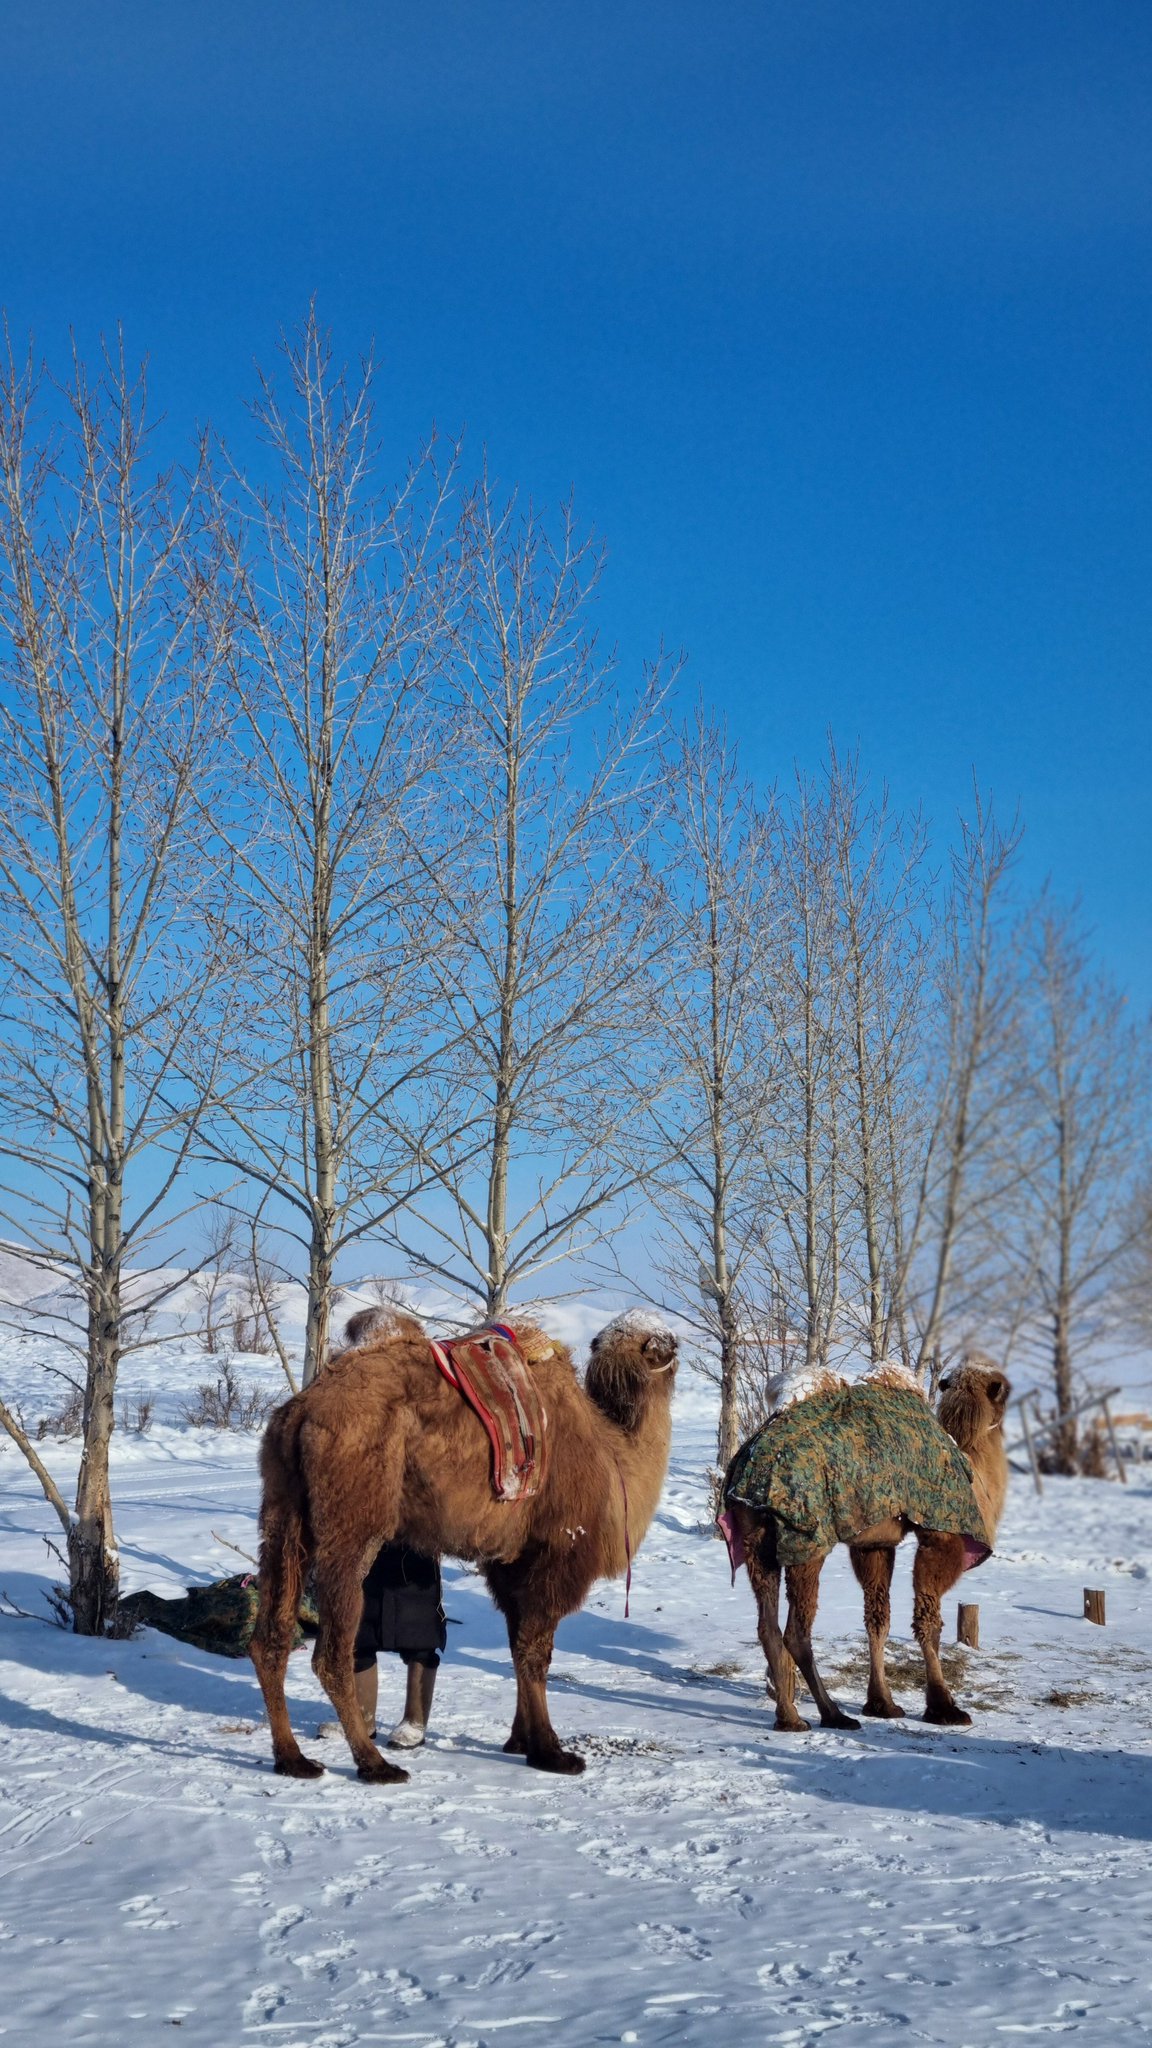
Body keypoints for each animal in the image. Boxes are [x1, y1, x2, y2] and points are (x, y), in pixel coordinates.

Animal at [250, 1310, 672, 1777]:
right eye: (663, 1342)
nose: (672, 1341)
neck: (614, 1458)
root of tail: (302, 1412)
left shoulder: (510, 1566)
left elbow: (517, 1648)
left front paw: (518, 1740)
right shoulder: (555, 1555)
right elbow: (535, 1654)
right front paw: (551, 1752)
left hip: (283, 1511)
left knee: (270, 1636)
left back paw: (293, 1758)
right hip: (352, 1518)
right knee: (333, 1653)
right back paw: (375, 1765)